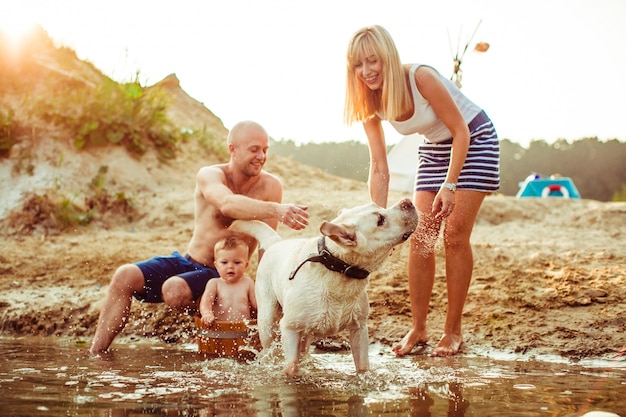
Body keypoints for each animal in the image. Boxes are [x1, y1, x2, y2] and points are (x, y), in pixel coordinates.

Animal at [228, 197, 414, 374]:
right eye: (380, 220)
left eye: (378, 206)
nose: (408, 202)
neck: (337, 269)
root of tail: (276, 242)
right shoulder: (290, 328)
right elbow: (291, 367)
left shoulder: (359, 328)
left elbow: (362, 367)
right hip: (268, 320)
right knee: (268, 348)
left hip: (308, 330)